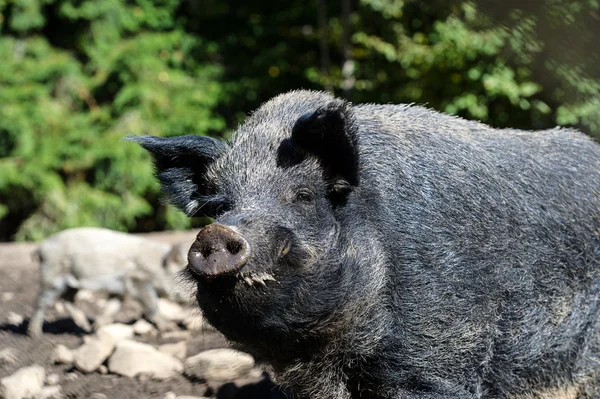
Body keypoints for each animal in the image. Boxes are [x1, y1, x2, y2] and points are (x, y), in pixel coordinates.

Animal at [27, 228, 188, 338]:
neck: (159, 267)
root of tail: (40, 248)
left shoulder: (122, 288)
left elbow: (113, 305)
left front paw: (98, 327)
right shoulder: (136, 280)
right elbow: (151, 304)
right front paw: (171, 328)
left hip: (72, 281)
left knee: (66, 299)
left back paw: (85, 329)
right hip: (52, 275)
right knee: (43, 301)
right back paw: (34, 334)